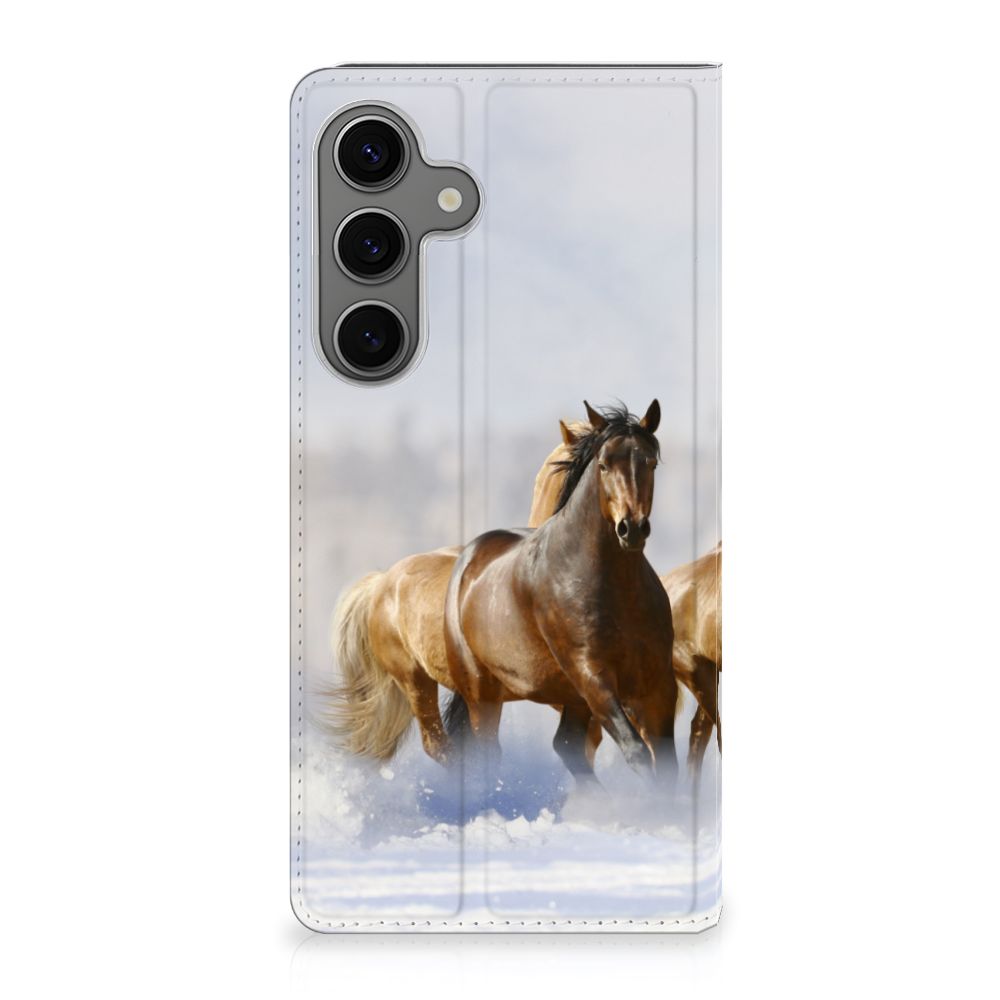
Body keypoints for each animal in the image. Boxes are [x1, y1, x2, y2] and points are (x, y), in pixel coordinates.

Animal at [442, 400, 678, 786]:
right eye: (603, 464)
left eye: (650, 462)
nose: (631, 528)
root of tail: (468, 559)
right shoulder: (593, 676)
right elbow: (637, 752)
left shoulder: (658, 683)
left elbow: (668, 764)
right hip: (482, 693)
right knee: (488, 752)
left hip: (571, 698)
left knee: (567, 744)